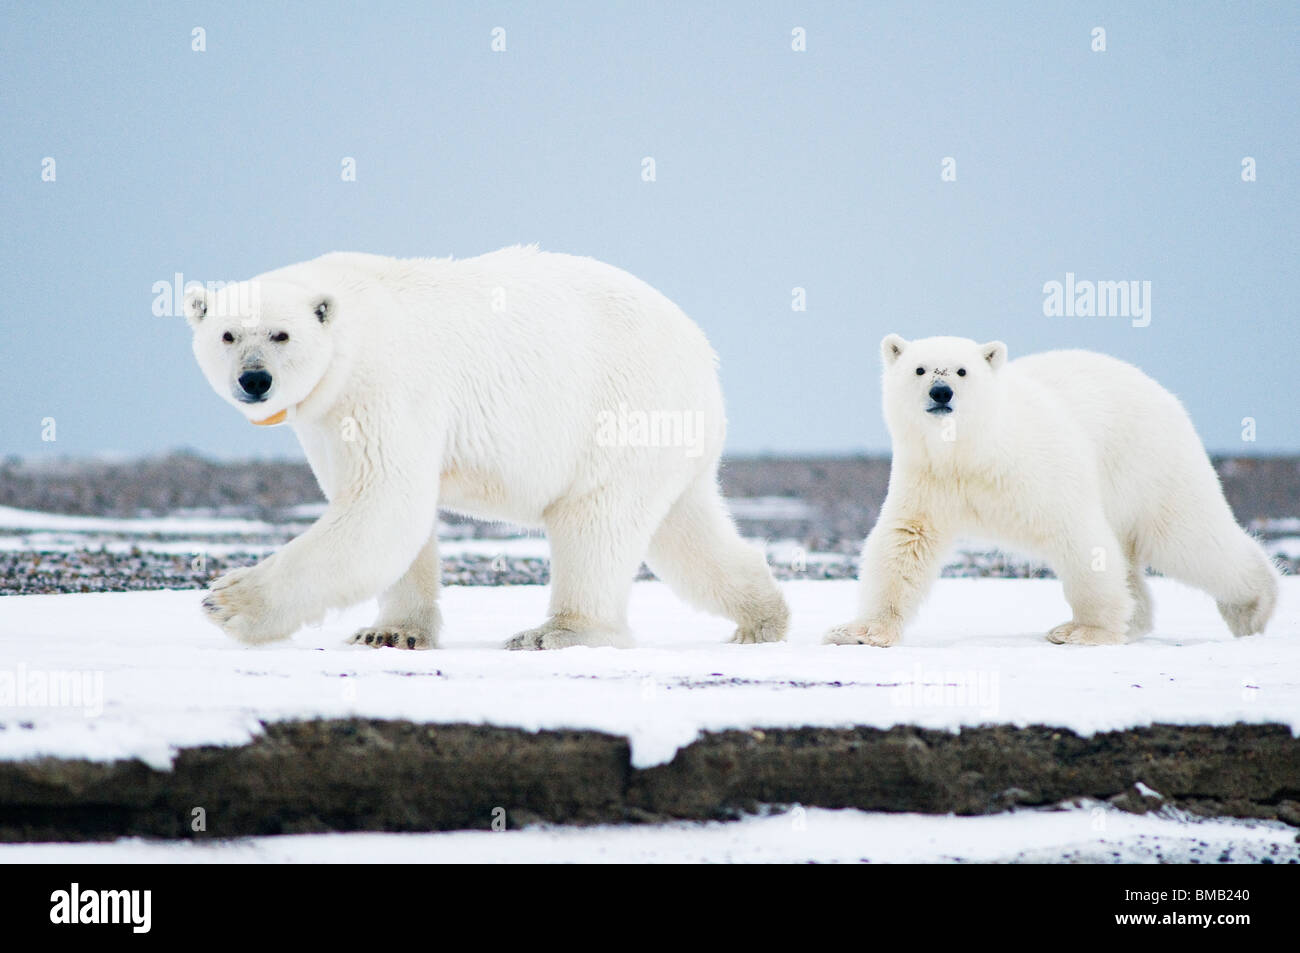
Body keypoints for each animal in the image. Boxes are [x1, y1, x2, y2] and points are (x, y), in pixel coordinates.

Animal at [184, 247, 785, 647]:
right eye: (228, 335)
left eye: (281, 334)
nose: (254, 380)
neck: (352, 328)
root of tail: (703, 355)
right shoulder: (328, 420)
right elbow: (390, 513)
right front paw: (390, 634)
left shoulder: (388, 386)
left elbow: (384, 506)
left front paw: (226, 601)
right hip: (668, 440)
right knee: (685, 529)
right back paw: (762, 617)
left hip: (622, 413)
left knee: (595, 522)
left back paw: (558, 632)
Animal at [826, 335, 1274, 647]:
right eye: (920, 370)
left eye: (961, 371)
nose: (941, 393)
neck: (973, 451)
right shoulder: (929, 478)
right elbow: (904, 543)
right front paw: (859, 631)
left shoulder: (1036, 469)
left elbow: (1078, 536)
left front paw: (1083, 631)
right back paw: (1136, 621)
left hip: (1150, 463)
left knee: (1189, 541)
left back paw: (1254, 609)